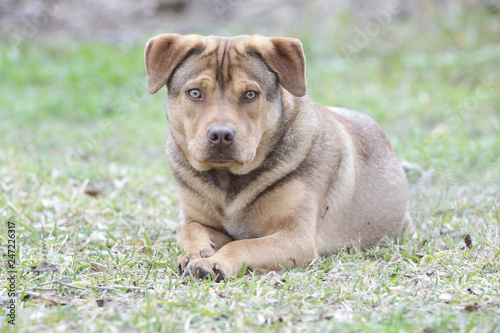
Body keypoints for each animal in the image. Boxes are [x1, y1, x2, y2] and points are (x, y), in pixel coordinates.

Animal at [144, 33, 410, 278]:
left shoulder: (296, 237)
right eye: (195, 93)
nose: (220, 135)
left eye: (250, 94)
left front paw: (215, 262)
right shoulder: (202, 220)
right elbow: (189, 229)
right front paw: (198, 252)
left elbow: (244, 245)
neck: (229, 182)